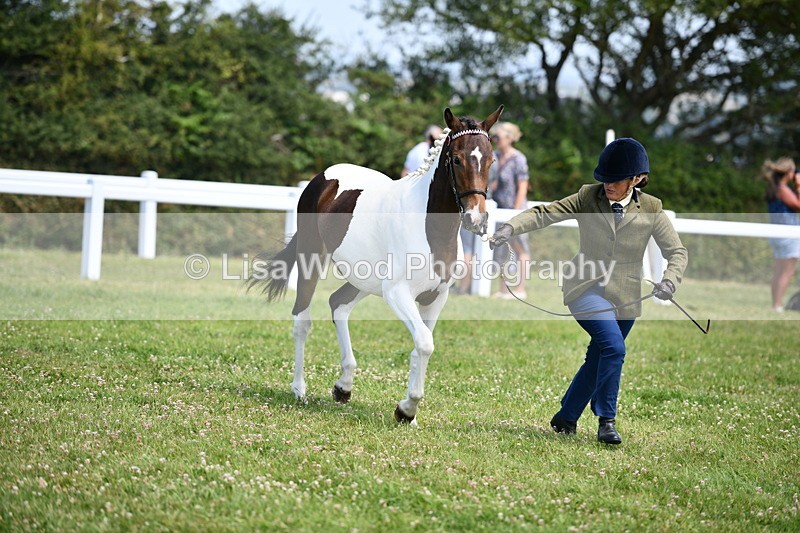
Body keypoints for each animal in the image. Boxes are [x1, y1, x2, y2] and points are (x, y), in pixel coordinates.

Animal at [249, 106, 503, 424]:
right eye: (456, 158)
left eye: (491, 160)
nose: (475, 219)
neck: (429, 228)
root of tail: (321, 178)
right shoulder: (397, 293)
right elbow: (424, 342)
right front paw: (406, 409)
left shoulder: (436, 297)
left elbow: (423, 345)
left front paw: (408, 412)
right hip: (312, 260)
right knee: (302, 320)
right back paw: (299, 389)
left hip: (364, 279)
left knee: (338, 304)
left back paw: (343, 387)